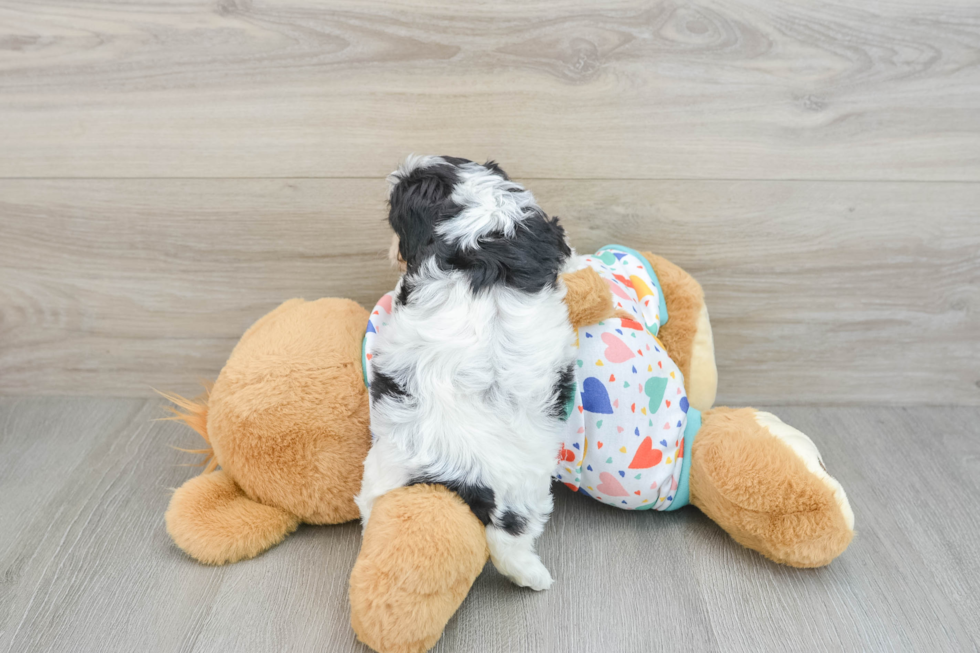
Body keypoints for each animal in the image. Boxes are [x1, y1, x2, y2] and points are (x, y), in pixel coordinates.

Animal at [356, 155, 576, 588]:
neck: (482, 215)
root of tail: (466, 471)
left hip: (385, 474)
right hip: (526, 491)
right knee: (513, 543)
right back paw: (535, 578)